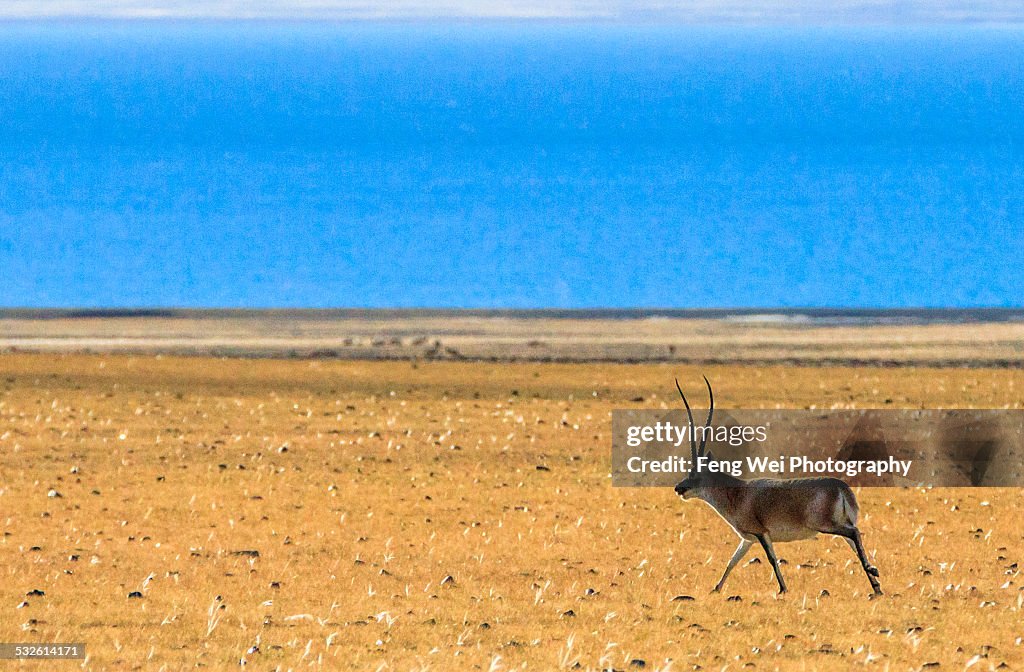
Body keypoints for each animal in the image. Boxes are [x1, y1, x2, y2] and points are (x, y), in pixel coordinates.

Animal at [671, 376, 880, 598]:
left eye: (694, 473)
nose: (679, 488)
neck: (736, 493)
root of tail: (841, 487)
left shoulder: (761, 533)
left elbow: (772, 558)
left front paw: (782, 588)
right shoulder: (748, 539)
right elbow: (732, 561)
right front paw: (716, 588)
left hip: (824, 525)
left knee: (854, 533)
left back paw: (874, 574)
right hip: (840, 524)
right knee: (856, 543)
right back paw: (876, 588)